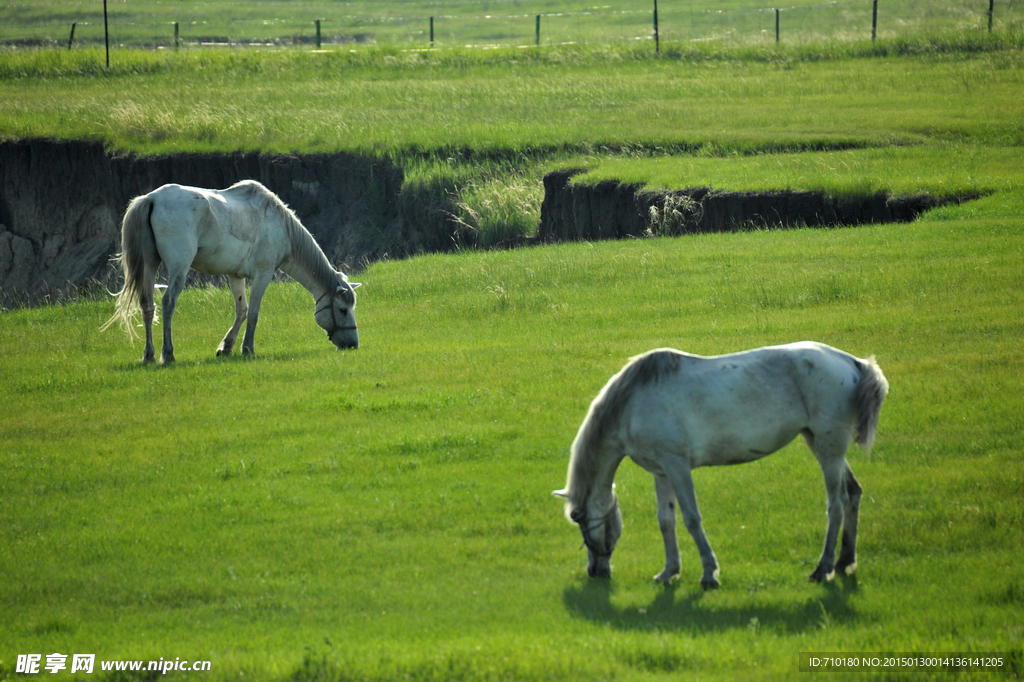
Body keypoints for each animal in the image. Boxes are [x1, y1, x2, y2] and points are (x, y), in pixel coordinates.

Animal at [104, 180, 360, 363]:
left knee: (147, 305)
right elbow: (254, 312)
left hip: (149, 264)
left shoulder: (235, 276)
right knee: (168, 303)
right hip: (179, 267)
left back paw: (148, 355)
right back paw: (168, 354)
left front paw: (226, 347)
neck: (280, 226)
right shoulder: (262, 275)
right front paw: (248, 349)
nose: (353, 345)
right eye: (343, 310)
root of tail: (152, 198)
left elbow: (242, 310)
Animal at [554, 341, 889, 589]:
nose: (595, 571)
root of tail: (853, 363)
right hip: (820, 444)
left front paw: (709, 573)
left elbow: (692, 518)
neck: (633, 403)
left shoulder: (677, 465)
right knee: (854, 493)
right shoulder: (661, 470)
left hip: (830, 450)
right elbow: (666, 520)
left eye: (578, 517)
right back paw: (845, 561)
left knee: (836, 504)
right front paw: (669, 572)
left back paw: (823, 568)